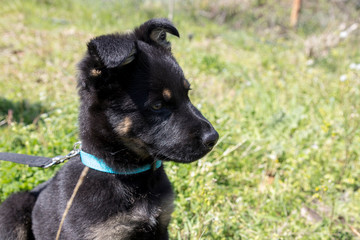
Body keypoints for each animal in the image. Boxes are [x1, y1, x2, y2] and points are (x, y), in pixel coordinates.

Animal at [0, 19, 219, 240]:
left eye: (187, 94)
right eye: (157, 105)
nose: (214, 138)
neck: (129, 174)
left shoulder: (161, 226)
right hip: (13, 210)